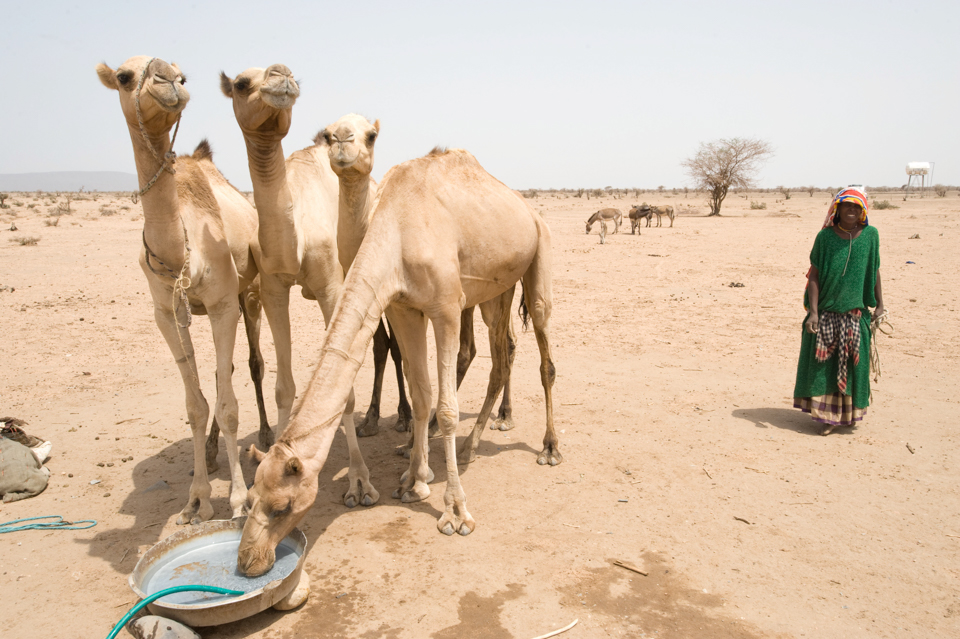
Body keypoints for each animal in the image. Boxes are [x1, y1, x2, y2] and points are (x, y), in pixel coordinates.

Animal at [96, 55, 284, 524]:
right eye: (124, 76)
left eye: (182, 75)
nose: (168, 81)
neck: (178, 248)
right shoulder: (165, 314)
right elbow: (196, 403)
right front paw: (197, 499)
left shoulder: (223, 303)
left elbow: (230, 404)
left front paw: (236, 499)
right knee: (222, 374)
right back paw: (214, 451)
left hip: (249, 296)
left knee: (251, 364)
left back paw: (264, 432)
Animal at [219, 66, 392, 510]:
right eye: (241, 83)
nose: (281, 76)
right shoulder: (274, 287)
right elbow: (284, 387)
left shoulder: (332, 286)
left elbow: (343, 388)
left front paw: (359, 482)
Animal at [235, 148, 560, 576]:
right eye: (250, 499)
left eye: (281, 506)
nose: (247, 559)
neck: (397, 231)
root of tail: (526, 206)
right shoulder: (406, 307)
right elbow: (422, 394)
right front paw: (413, 481)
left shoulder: (445, 307)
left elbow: (447, 408)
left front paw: (455, 511)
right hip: (497, 287)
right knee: (502, 357)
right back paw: (472, 445)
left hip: (539, 249)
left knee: (542, 348)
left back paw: (548, 448)